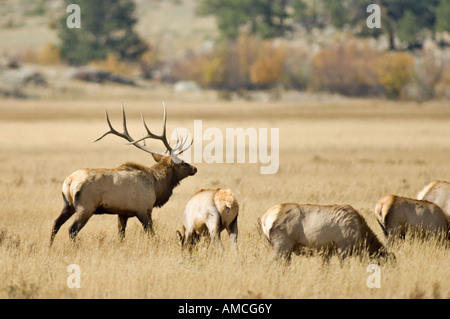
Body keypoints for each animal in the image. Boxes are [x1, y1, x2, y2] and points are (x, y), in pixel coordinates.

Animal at [50, 102, 196, 245]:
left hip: (68, 205)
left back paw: (50, 246)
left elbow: (121, 235)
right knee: (72, 229)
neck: (157, 186)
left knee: (55, 223)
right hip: (86, 206)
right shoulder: (143, 209)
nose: (194, 168)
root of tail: (69, 181)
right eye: (182, 162)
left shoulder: (122, 213)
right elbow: (151, 234)